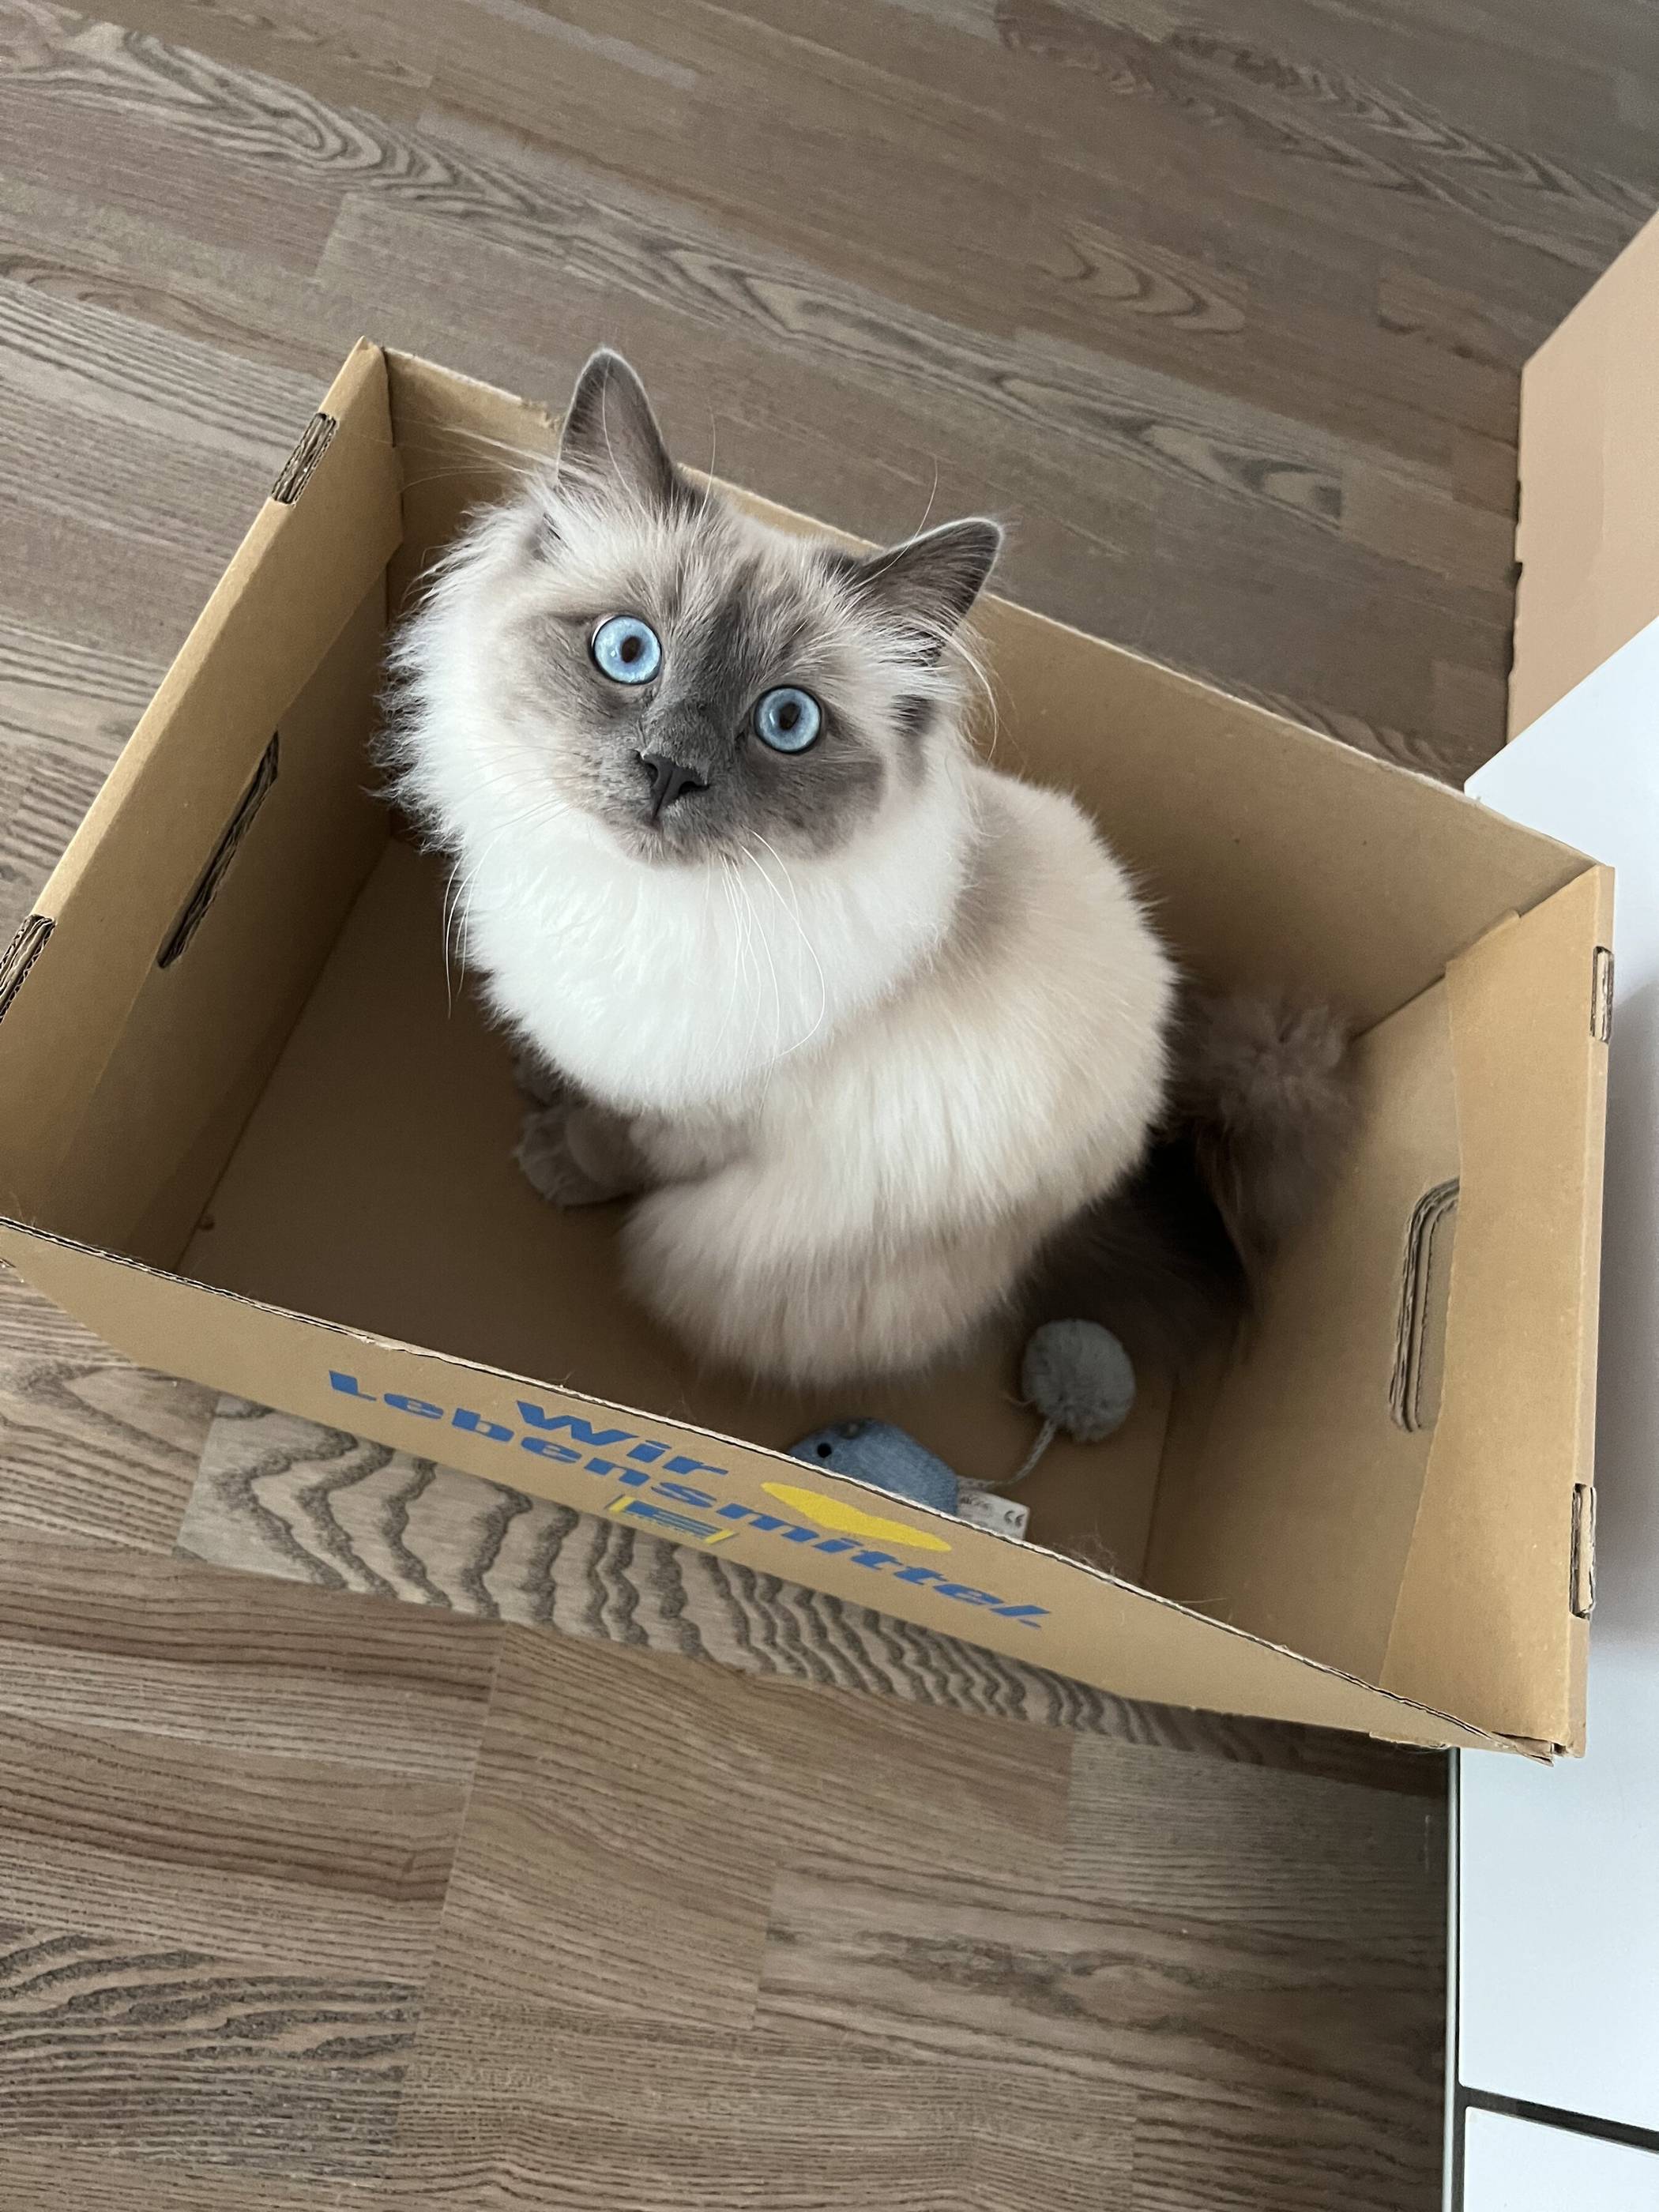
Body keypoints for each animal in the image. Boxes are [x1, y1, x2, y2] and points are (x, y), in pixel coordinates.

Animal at [385, 349, 1351, 1391]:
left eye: (787, 722)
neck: (633, 902)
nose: (671, 770)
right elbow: (581, 1072)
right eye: (628, 651)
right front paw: (542, 1076)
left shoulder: (701, 1117)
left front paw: (557, 1158)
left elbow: (616, 1142)